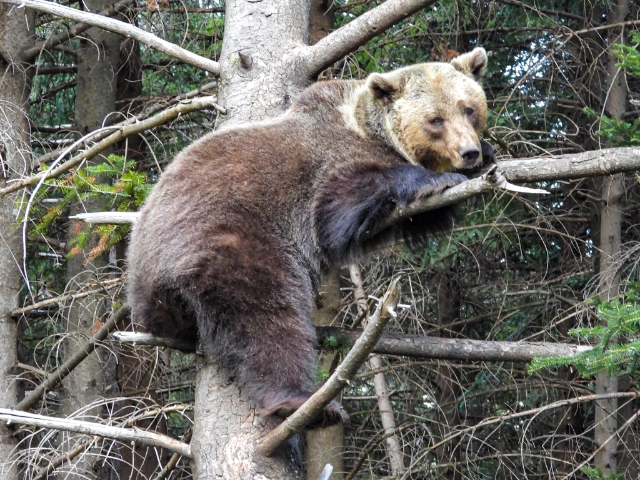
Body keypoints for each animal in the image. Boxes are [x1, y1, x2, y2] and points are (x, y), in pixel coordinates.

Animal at [126, 47, 493, 426]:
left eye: (469, 107)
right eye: (435, 119)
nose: (469, 151)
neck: (372, 130)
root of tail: (144, 264)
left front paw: (484, 159)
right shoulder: (325, 168)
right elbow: (341, 204)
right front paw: (437, 179)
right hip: (231, 236)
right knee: (266, 318)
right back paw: (303, 401)